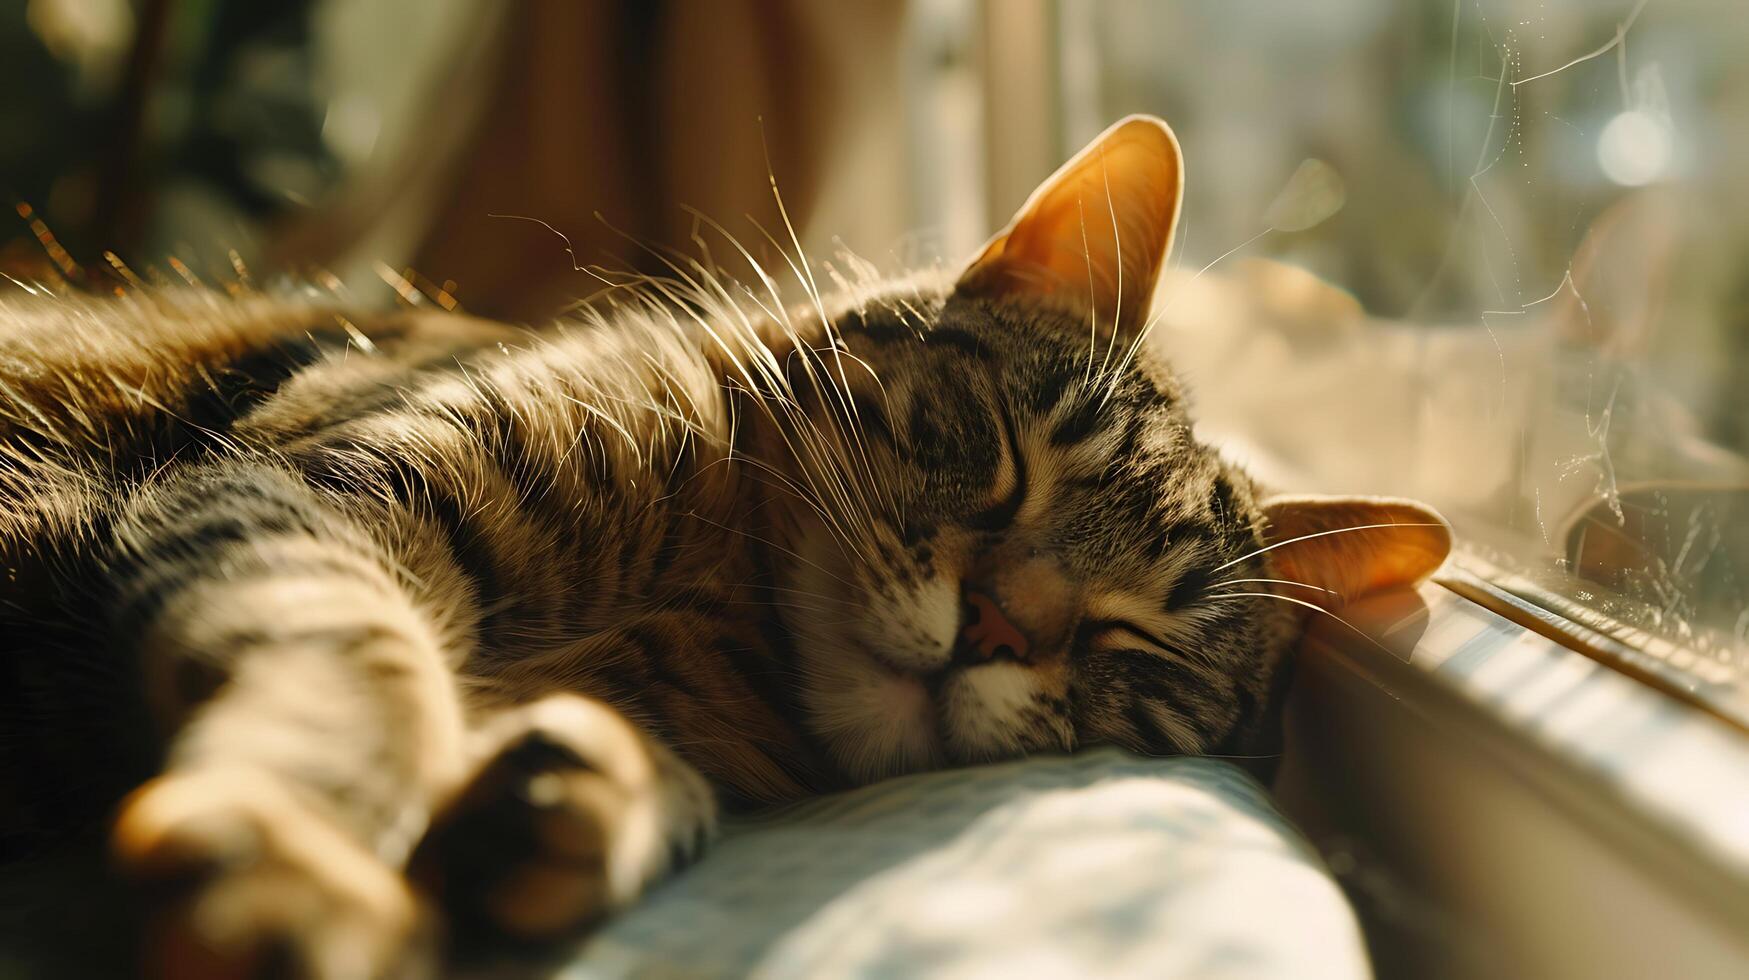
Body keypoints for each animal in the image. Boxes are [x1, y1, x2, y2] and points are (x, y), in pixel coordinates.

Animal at [0, 119, 1448, 973]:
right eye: (1002, 455)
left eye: (1136, 636)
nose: (995, 623)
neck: (707, 606)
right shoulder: (297, 492)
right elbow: (358, 665)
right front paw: (304, 857)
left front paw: (580, 796)